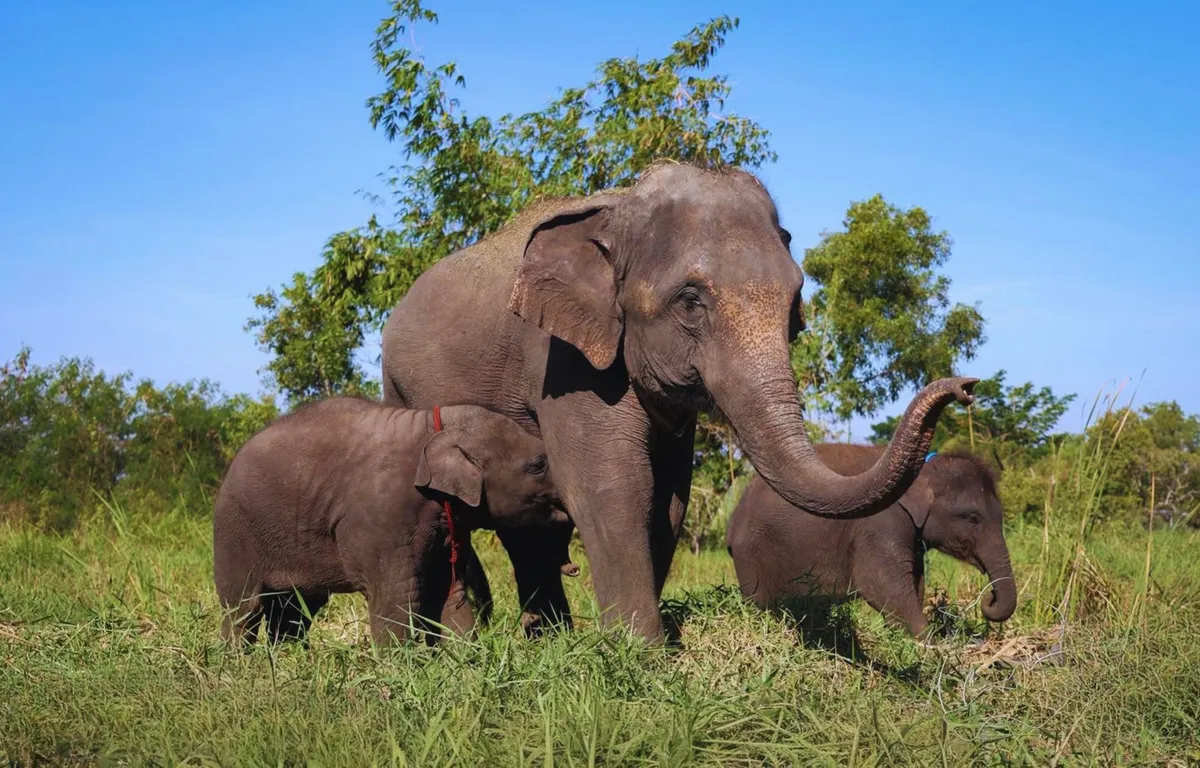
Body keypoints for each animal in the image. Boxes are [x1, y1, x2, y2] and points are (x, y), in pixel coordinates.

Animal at [212, 397, 565, 647]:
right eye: (538, 464)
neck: (431, 428)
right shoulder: (384, 519)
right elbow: (398, 598)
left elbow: (450, 592)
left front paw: (465, 666)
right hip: (234, 534)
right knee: (243, 609)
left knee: (294, 611)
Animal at [381, 161, 977, 643]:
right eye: (690, 302)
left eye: (794, 303)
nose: (964, 388)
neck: (618, 210)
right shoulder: (562, 358)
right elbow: (613, 484)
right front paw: (641, 657)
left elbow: (668, 494)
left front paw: (652, 643)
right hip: (399, 386)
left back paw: (544, 636)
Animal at [726, 444, 1016, 637]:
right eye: (972, 518)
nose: (988, 599)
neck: (923, 470)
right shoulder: (881, 523)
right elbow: (883, 587)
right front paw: (930, 646)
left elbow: (916, 583)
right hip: (752, 556)